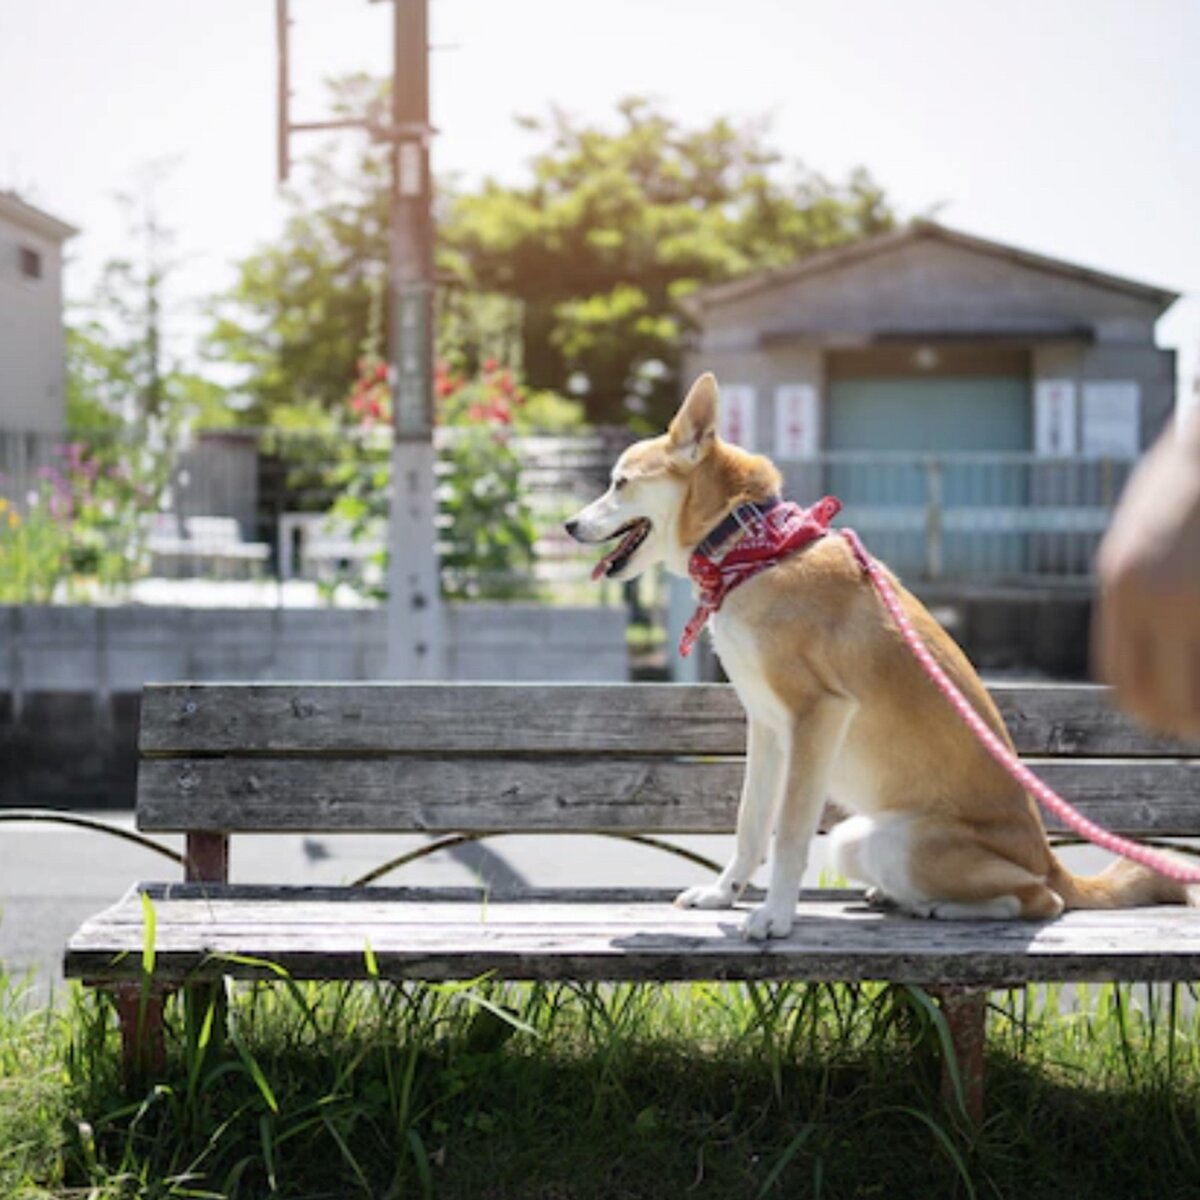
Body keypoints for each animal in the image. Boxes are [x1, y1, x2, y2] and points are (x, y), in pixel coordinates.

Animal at [566, 372, 1195, 936]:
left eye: (619, 483)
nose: (569, 524)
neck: (751, 548)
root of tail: (1050, 859)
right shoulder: (767, 727)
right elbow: (750, 822)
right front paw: (725, 894)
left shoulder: (817, 716)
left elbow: (788, 832)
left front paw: (775, 917)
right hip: (855, 840)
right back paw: (895, 898)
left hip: (907, 844)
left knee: (1039, 901)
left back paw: (939, 907)